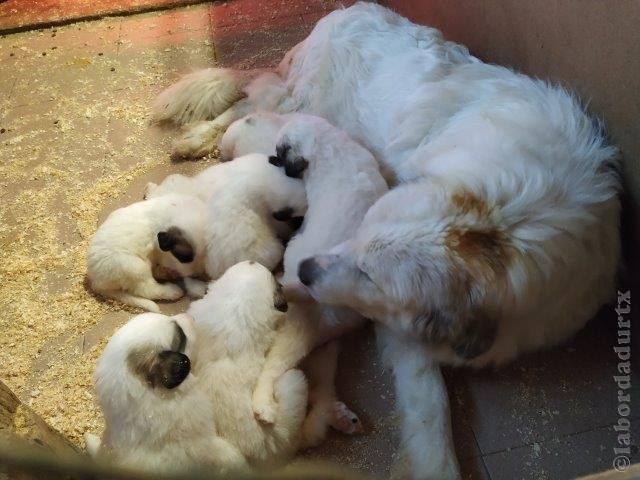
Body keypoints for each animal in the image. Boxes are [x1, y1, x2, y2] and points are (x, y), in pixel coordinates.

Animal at [251, 115, 388, 446]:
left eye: (280, 151)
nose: (272, 159)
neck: (329, 146)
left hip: (300, 327)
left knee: (275, 369)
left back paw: (264, 410)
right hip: (319, 342)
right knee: (314, 384)